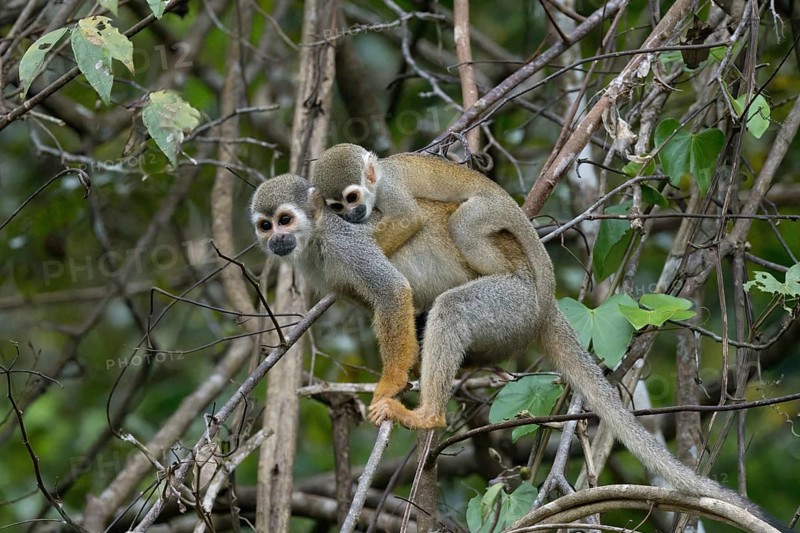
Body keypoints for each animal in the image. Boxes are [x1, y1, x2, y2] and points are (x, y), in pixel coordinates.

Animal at [250, 174, 791, 531]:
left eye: (285, 219)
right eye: (264, 225)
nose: (276, 240)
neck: (315, 241)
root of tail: (545, 297)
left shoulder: (346, 242)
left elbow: (391, 291)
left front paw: (390, 384)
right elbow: (385, 304)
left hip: (512, 301)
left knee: (453, 308)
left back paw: (429, 413)